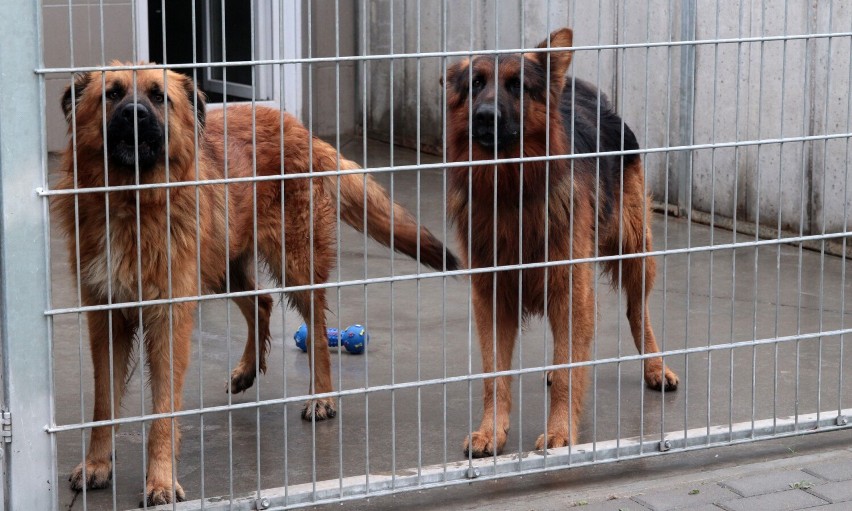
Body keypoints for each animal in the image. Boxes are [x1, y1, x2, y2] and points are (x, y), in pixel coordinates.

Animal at [55, 67, 456, 504]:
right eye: (111, 94)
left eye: (159, 97)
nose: (134, 114)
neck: (130, 201)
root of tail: (299, 129)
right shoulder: (105, 319)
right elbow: (103, 403)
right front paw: (97, 464)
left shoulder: (169, 319)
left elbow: (163, 409)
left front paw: (160, 480)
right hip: (223, 264)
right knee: (261, 301)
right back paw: (248, 369)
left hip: (293, 263)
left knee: (316, 328)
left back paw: (321, 396)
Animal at [446, 30, 680, 458]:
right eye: (476, 84)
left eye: (517, 86)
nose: (484, 116)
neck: (511, 192)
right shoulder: (492, 296)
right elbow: (494, 374)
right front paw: (491, 431)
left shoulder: (571, 289)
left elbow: (573, 371)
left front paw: (561, 433)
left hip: (636, 250)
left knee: (636, 311)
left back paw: (656, 367)